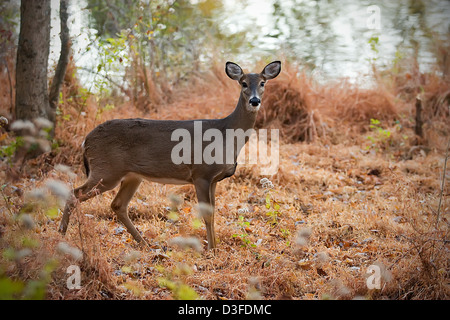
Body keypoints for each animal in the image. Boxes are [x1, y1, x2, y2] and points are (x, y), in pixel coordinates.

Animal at [58, 60, 280, 250]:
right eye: (243, 83)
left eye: (262, 83)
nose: (254, 100)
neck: (226, 134)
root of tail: (86, 140)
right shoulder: (200, 174)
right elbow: (207, 215)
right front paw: (211, 250)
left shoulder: (214, 179)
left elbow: (214, 213)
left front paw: (215, 247)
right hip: (106, 170)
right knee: (74, 194)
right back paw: (61, 234)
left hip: (131, 176)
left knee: (117, 205)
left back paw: (144, 243)